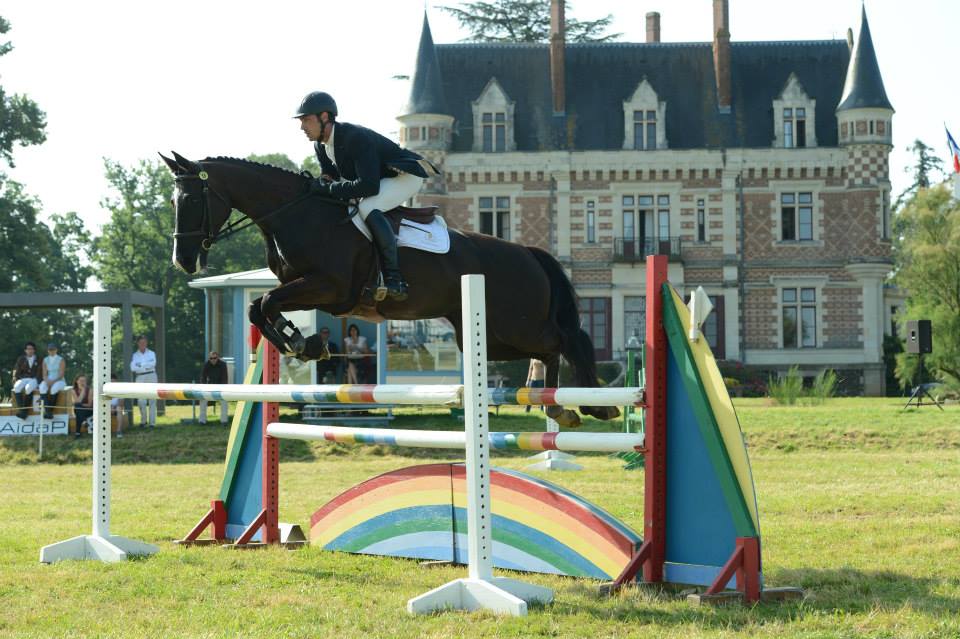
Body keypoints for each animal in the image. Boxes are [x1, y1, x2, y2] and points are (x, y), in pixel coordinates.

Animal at [161, 151, 620, 430]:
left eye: (194, 200)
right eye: (172, 203)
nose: (183, 260)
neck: (297, 214)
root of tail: (528, 252)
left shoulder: (329, 287)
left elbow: (265, 302)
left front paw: (304, 344)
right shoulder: (304, 288)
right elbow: (259, 306)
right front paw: (303, 342)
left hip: (511, 324)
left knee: (565, 340)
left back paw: (590, 404)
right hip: (490, 334)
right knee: (552, 347)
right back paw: (558, 404)